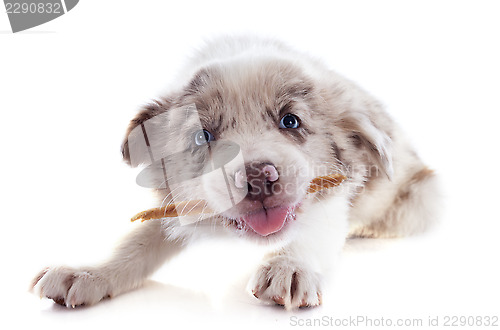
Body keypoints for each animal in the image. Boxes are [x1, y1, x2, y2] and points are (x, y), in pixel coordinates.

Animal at [31, 36, 440, 310]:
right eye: (203, 136)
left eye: (291, 121)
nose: (260, 177)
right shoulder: (178, 205)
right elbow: (134, 244)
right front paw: (87, 273)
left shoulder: (332, 199)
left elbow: (312, 230)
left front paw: (289, 266)